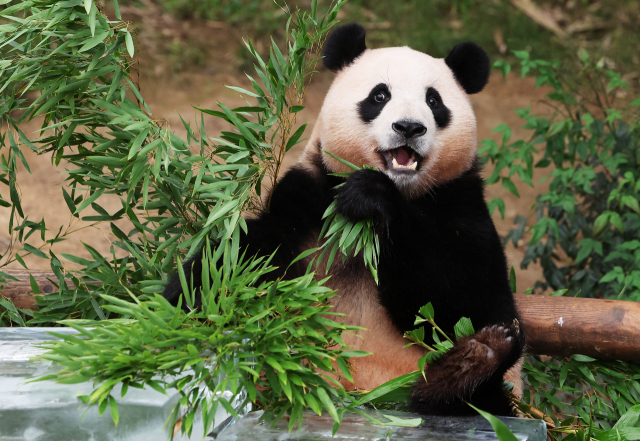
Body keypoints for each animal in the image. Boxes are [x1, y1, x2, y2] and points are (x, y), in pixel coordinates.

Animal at [164, 23, 524, 416]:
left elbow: (466, 298)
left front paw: (371, 195)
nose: (409, 128)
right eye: (380, 95)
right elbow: (245, 257)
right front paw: (182, 301)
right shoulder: (310, 199)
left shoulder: (460, 201)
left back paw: (473, 361)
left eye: (434, 101)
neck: (404, 191)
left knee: (481, 393)